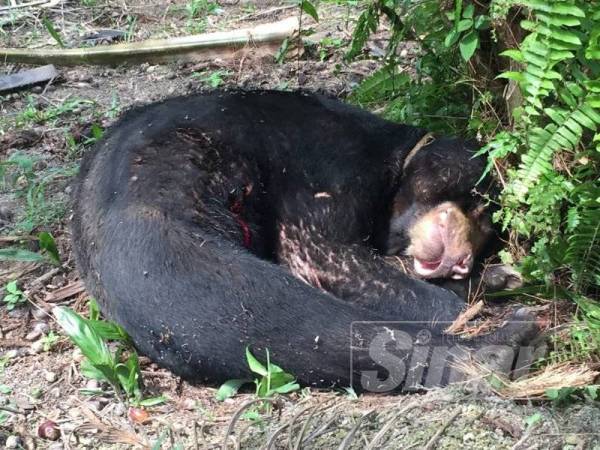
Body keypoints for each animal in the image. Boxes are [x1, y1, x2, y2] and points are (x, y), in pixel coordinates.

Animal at [72, 90, 536, 386]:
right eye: (474, 203)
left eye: (486, 233)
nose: (461, 258)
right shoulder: (331, 172)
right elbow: (323, 253)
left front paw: (492, 278)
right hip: (168, 249)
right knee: (286, 317)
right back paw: (502, 347)